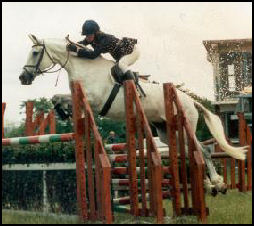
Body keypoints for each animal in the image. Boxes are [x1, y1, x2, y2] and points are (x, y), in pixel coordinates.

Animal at [20, 34, 248, 195]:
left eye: (35, 53)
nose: (23, 78)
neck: (84, 67)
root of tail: (190, 100)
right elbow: (56, 97)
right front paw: (63, 112)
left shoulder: (94, 102)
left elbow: (62, 98)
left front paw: (64, 111)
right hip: (166, 132)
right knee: (191, 152)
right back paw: (209, 186)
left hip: (184, 126)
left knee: (203, 151)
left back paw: (218, 184)